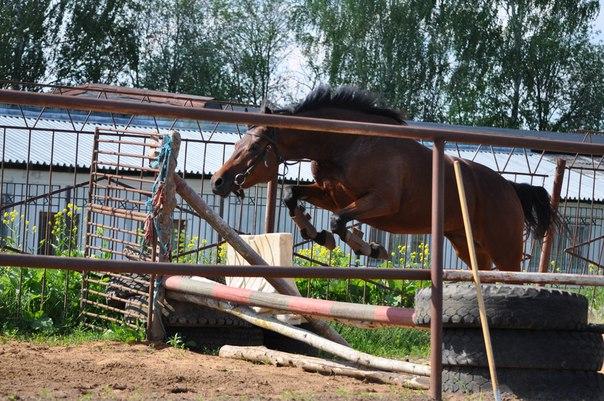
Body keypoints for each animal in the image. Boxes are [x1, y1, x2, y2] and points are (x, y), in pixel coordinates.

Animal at [211, 85, 556, 271]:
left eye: (254, 148)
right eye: (237, 145)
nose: (217, 182)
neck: (347, 144)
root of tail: (510, 187)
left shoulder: (380, 202)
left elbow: (339, 220)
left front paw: (369, 248)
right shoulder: (331, 194)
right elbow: (292, 196)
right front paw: (316, 234)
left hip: (504, 247)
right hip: (466, 244)